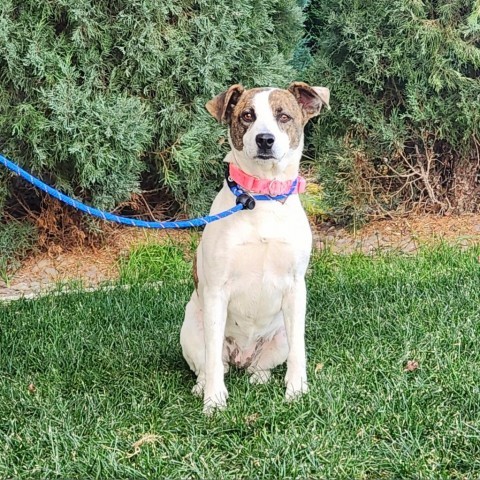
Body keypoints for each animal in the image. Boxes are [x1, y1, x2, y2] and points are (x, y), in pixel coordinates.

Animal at [180, 82, 330, 412]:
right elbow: (212, 361)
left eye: (283, 116)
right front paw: (214, 402)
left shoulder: (295, 288)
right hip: (192, 328)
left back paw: (259, 377)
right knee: (211, 364)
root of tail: (241, 356)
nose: (265, 139)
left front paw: (296, 391)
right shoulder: (217, 290)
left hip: (281, 335)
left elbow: (299, 353)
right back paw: (203, 387)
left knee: (261, 365)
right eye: (247, 115)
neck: (263, 197)